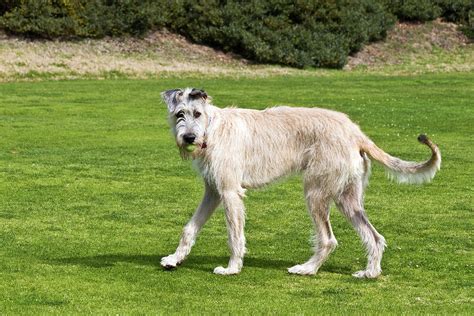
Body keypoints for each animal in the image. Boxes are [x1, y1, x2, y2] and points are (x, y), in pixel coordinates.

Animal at [159, 88, 440, 276]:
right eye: (180, 114)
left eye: (197, 113)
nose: (189, 138)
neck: (213, 128)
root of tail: (356, 132)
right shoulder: (213, 192)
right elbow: (189, 228)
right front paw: (174, 258)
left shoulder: (229, 192)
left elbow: (235, 235)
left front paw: (232, 268)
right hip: (348, 199)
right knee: (374, 236)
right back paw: (369, 273)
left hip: (315, 193)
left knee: (328, 239)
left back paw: (307, 269)